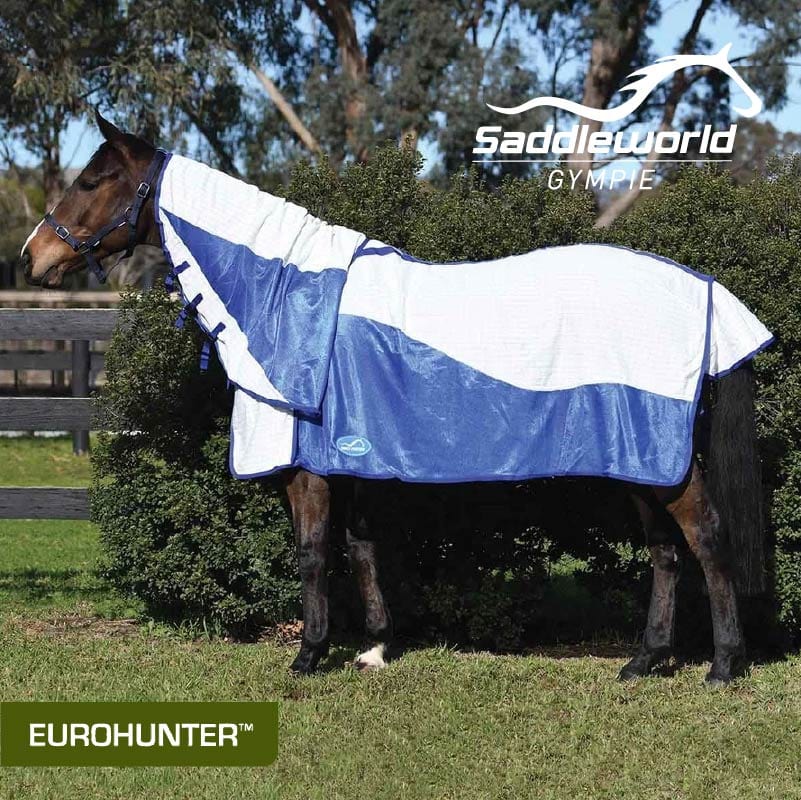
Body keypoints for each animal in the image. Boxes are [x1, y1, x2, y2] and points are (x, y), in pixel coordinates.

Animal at [21, 110, 770, 684]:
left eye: (92, 180)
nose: (33, 257)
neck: (286, 292)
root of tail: (705, 289)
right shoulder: (350, 458)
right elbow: (362, 547)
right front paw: (376, 647)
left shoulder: (307, 467)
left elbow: (313, 551)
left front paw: (308, 655)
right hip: (640, 460)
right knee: (665, 552)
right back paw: (643, 661)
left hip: (660, 460)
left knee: (705, 538)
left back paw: (723, 665)